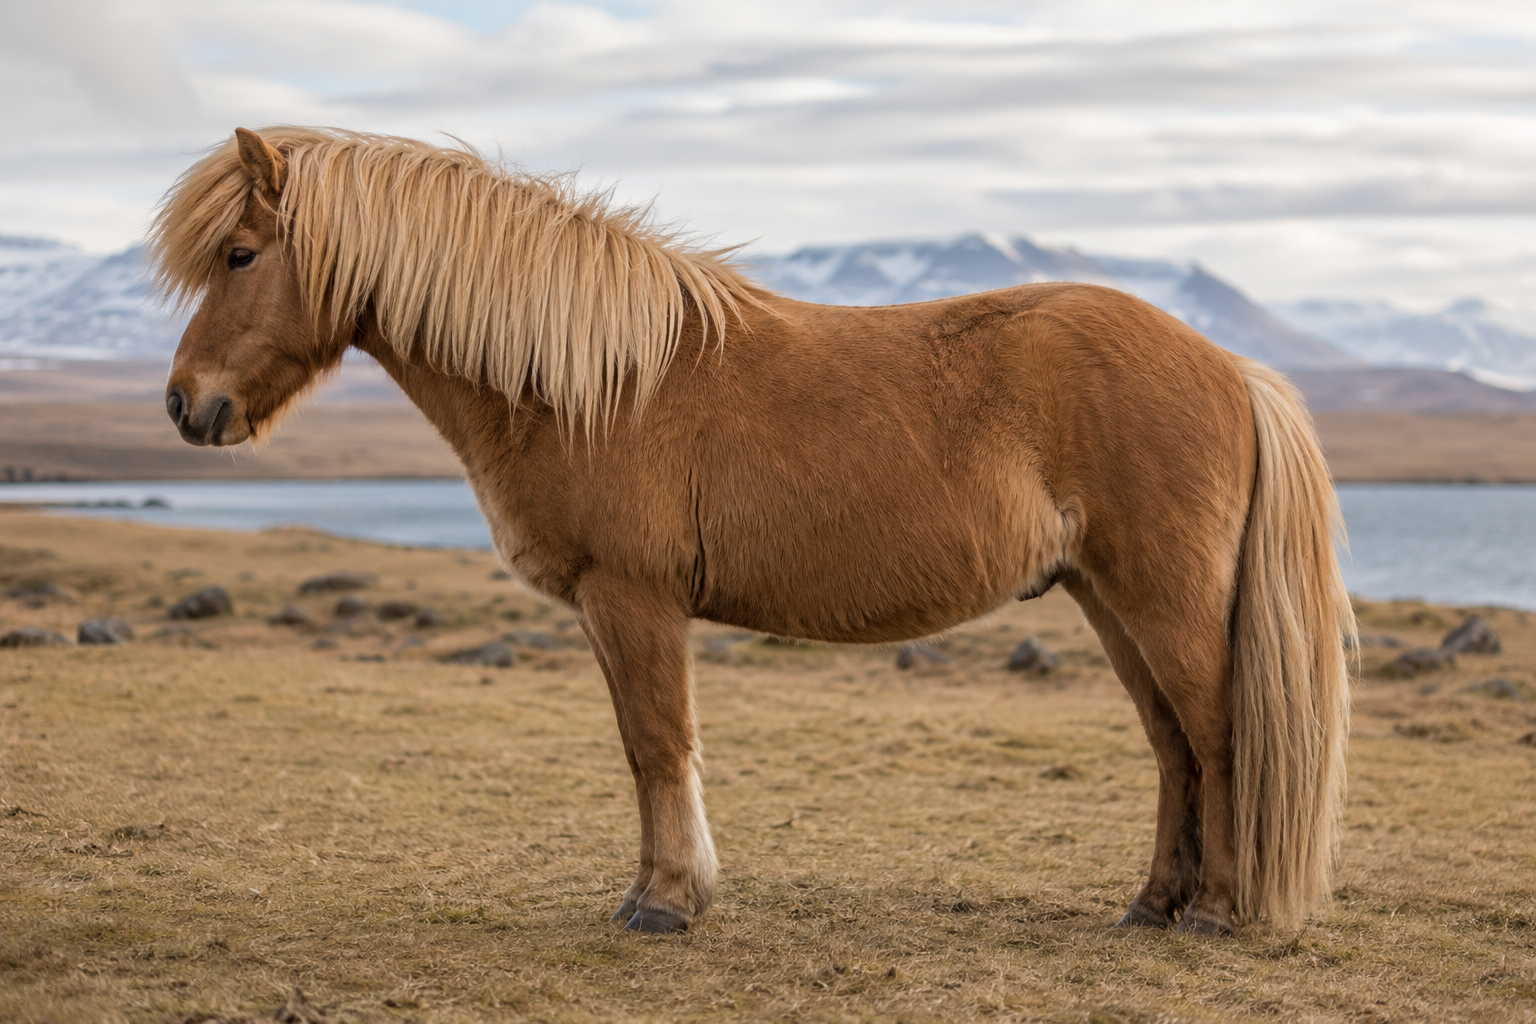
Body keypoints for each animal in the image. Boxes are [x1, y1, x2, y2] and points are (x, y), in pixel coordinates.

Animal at [150, 126, 1354, 936]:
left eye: (242, 254)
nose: (185, 406)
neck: (590, 383)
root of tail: (1227, 365)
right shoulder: (609, 607)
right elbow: (644, 750)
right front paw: (659, 892)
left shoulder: (632, 597)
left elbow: (656, 744)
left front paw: (667, 904)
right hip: (1106, 598)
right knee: (1173, 746)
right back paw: (1154, 905)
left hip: (1166, 598)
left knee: (1219, 735)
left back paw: (1217, 913)